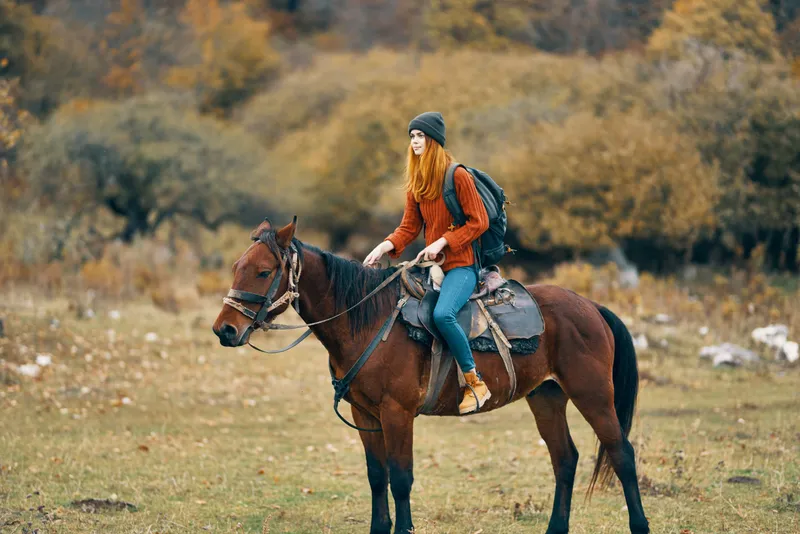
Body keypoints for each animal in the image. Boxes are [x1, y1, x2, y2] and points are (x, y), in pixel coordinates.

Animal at [212, 218, 650, 534]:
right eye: (236, 267)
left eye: (263, 271)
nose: (224, 330)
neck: (368, 321)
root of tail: (591, 306)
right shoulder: (365, 415)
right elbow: (377, 477)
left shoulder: (397, 414)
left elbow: (401, 478)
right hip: (546, 397)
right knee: (565, 459)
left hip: (593, 395)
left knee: (621, 454)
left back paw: (639, 525)